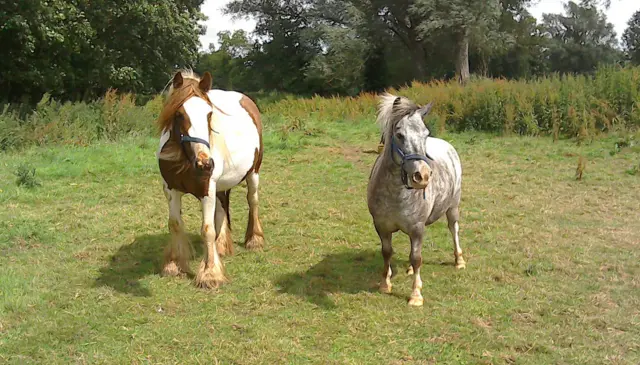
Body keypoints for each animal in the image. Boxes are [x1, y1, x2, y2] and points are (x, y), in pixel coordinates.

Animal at [156, 69, 264, 288]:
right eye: (179, 114)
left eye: (209, 114)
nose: (205, 164)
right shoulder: (171, 190)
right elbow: (175, 224)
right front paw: (174, 265)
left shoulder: (207, 190)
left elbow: (207, 229)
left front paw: (210, 274)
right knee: (222, 208)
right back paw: (221, 246)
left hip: (253, 174)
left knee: (253, 201)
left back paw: (254, 240)